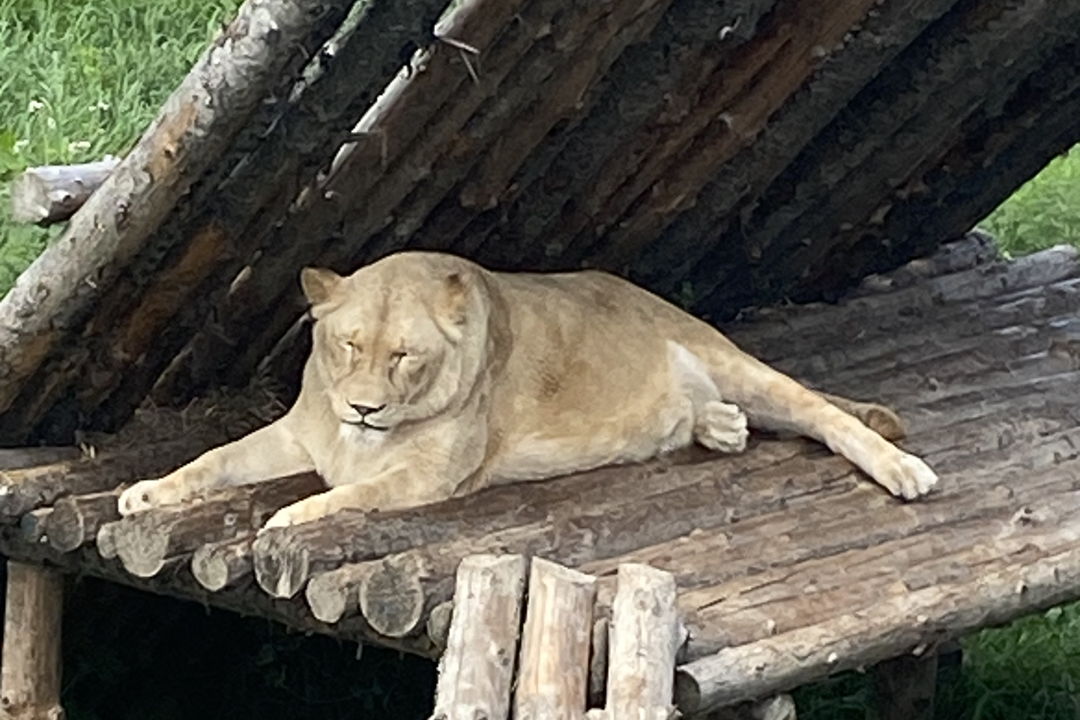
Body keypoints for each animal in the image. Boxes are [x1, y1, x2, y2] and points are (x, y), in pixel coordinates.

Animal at [118, 251, 937, 529]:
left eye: (404, 357)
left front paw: (289, 517)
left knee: (828, 418)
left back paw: (906, 472)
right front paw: (145, 493)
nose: (362, 406)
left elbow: (351, 495)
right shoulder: (298, 433)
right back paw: (719, 426)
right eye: (348, 345)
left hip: (740, 364)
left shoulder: (427, 477)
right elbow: (212, 461)